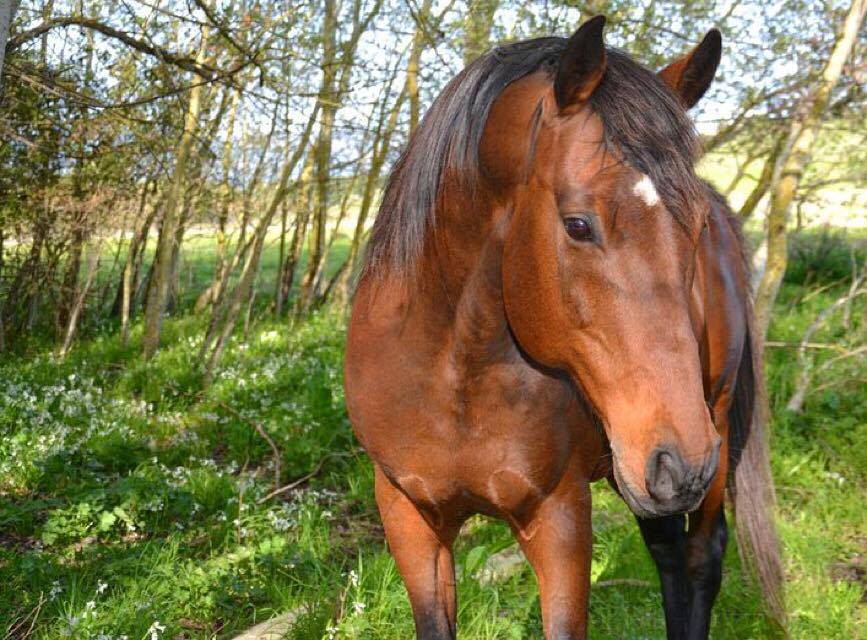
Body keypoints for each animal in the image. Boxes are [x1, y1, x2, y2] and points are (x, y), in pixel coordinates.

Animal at [345, 16, 783, 639]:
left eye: (696, 227)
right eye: (578, 225)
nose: (684, 461)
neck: (453, 378)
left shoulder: (561, 517)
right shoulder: (409, 518)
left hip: (706, 429)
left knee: (701, 556)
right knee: (669, 553)